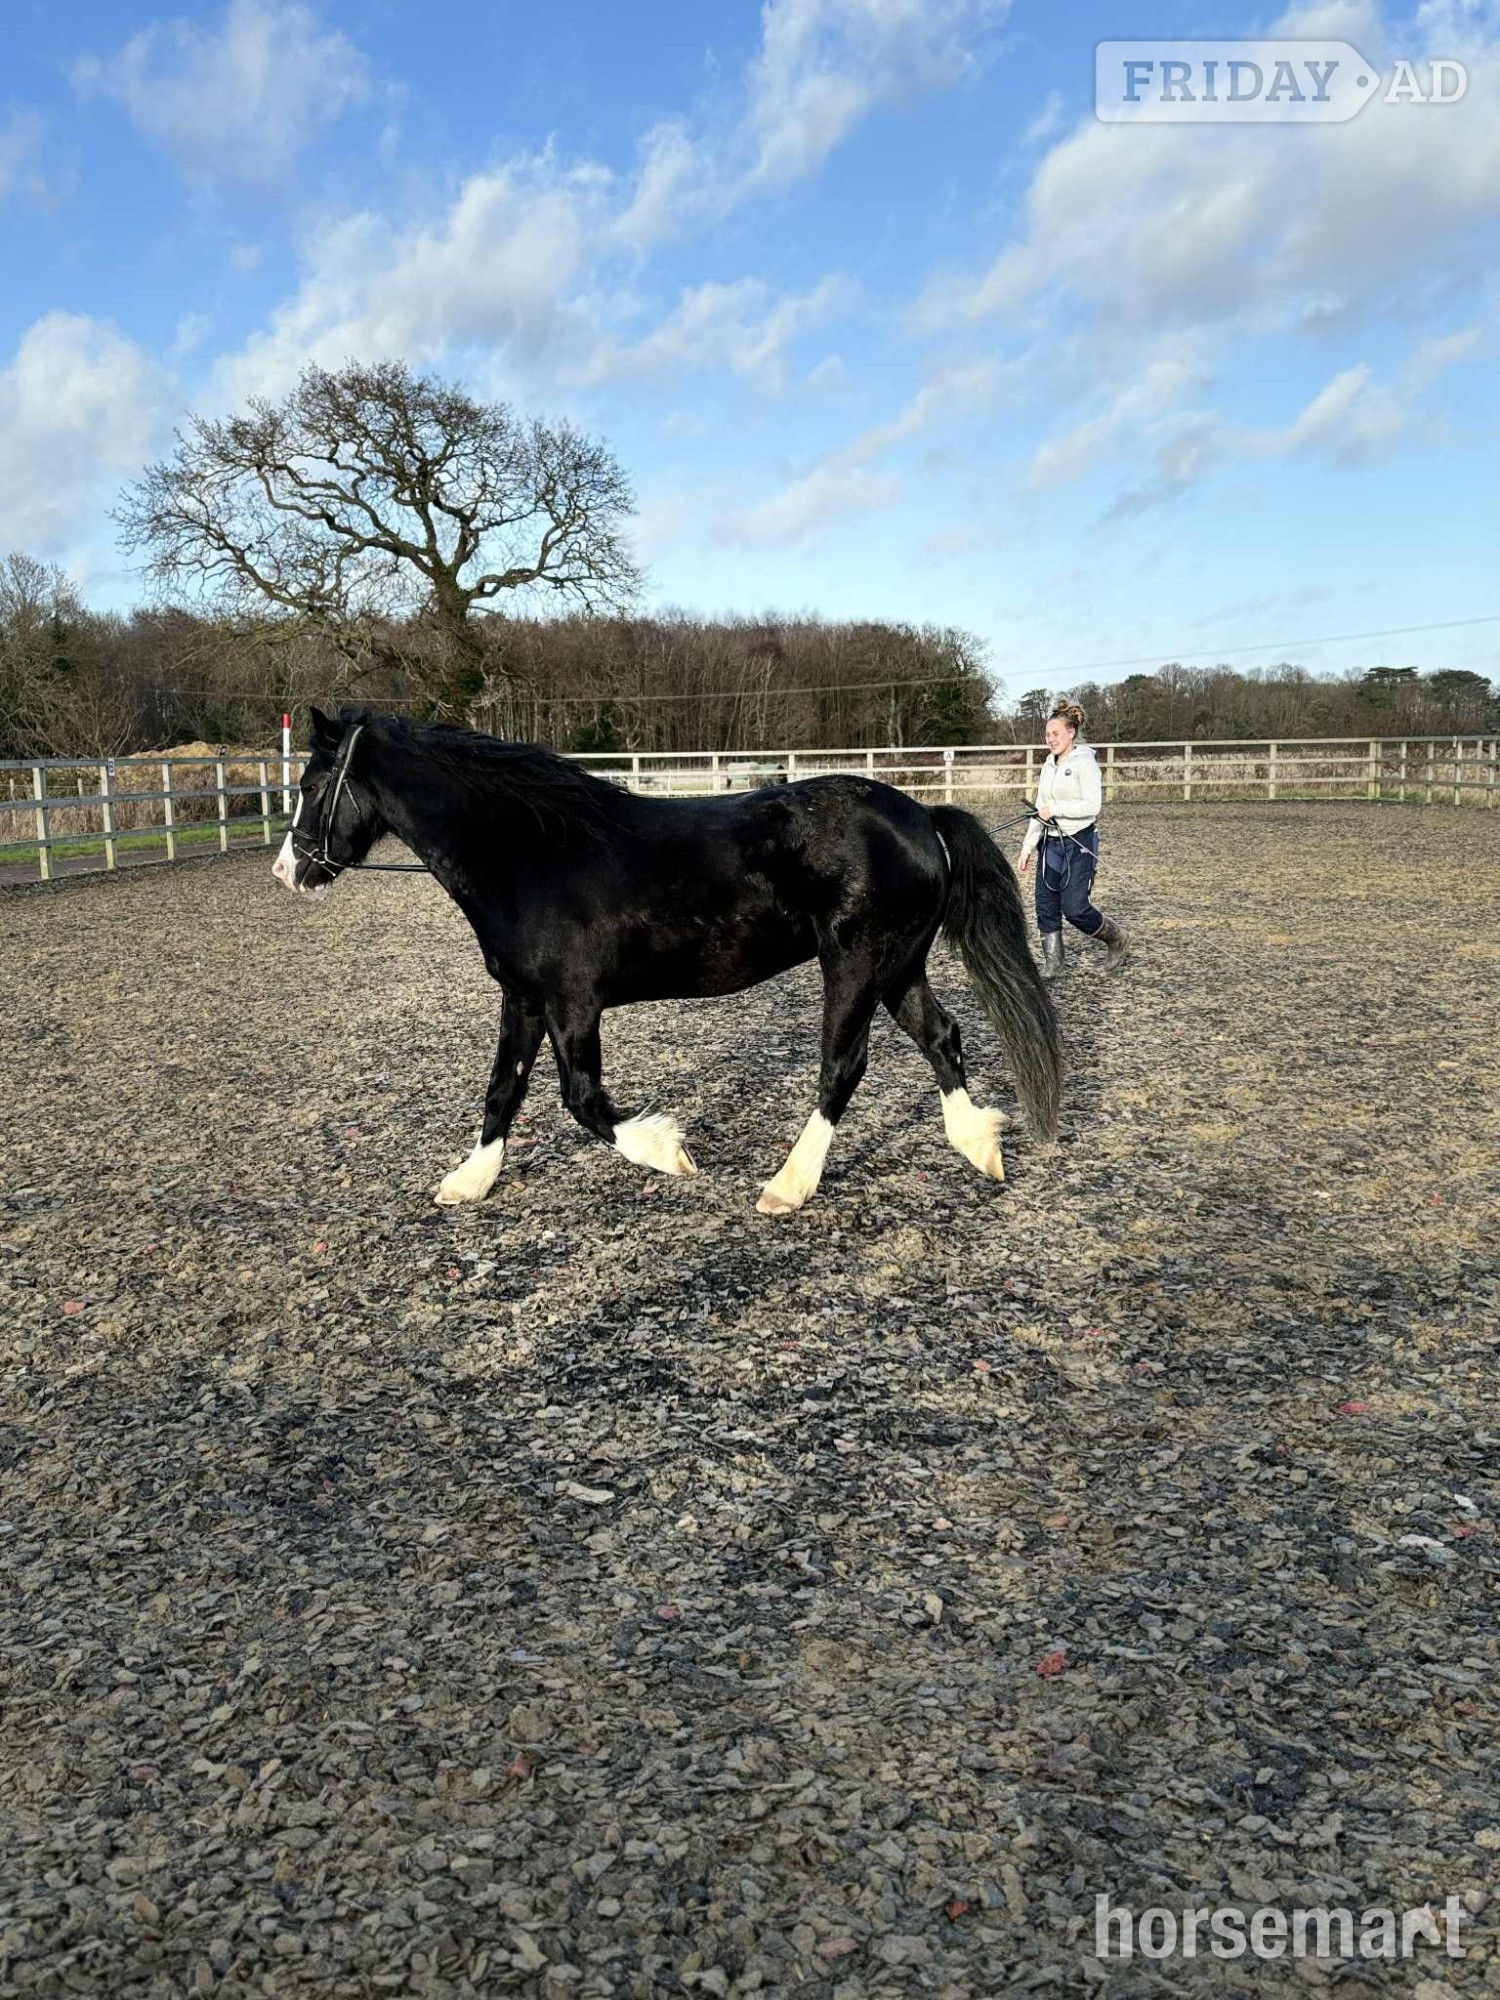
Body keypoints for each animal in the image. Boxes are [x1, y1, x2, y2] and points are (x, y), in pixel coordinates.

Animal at [272, 709, 1062, 1214]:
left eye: (309, 786)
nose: (286, 871)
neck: (527, 855)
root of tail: (923, 816)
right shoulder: (521, 999)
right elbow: (502, 1092)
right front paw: (470, 1181)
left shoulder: (572, 1003)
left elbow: (583, 1101)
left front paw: (669, 1151)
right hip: (898, 967)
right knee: (941, 1037)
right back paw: (978, 1147)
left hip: (858, 965)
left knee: (843, 1067)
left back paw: (788, 1185)